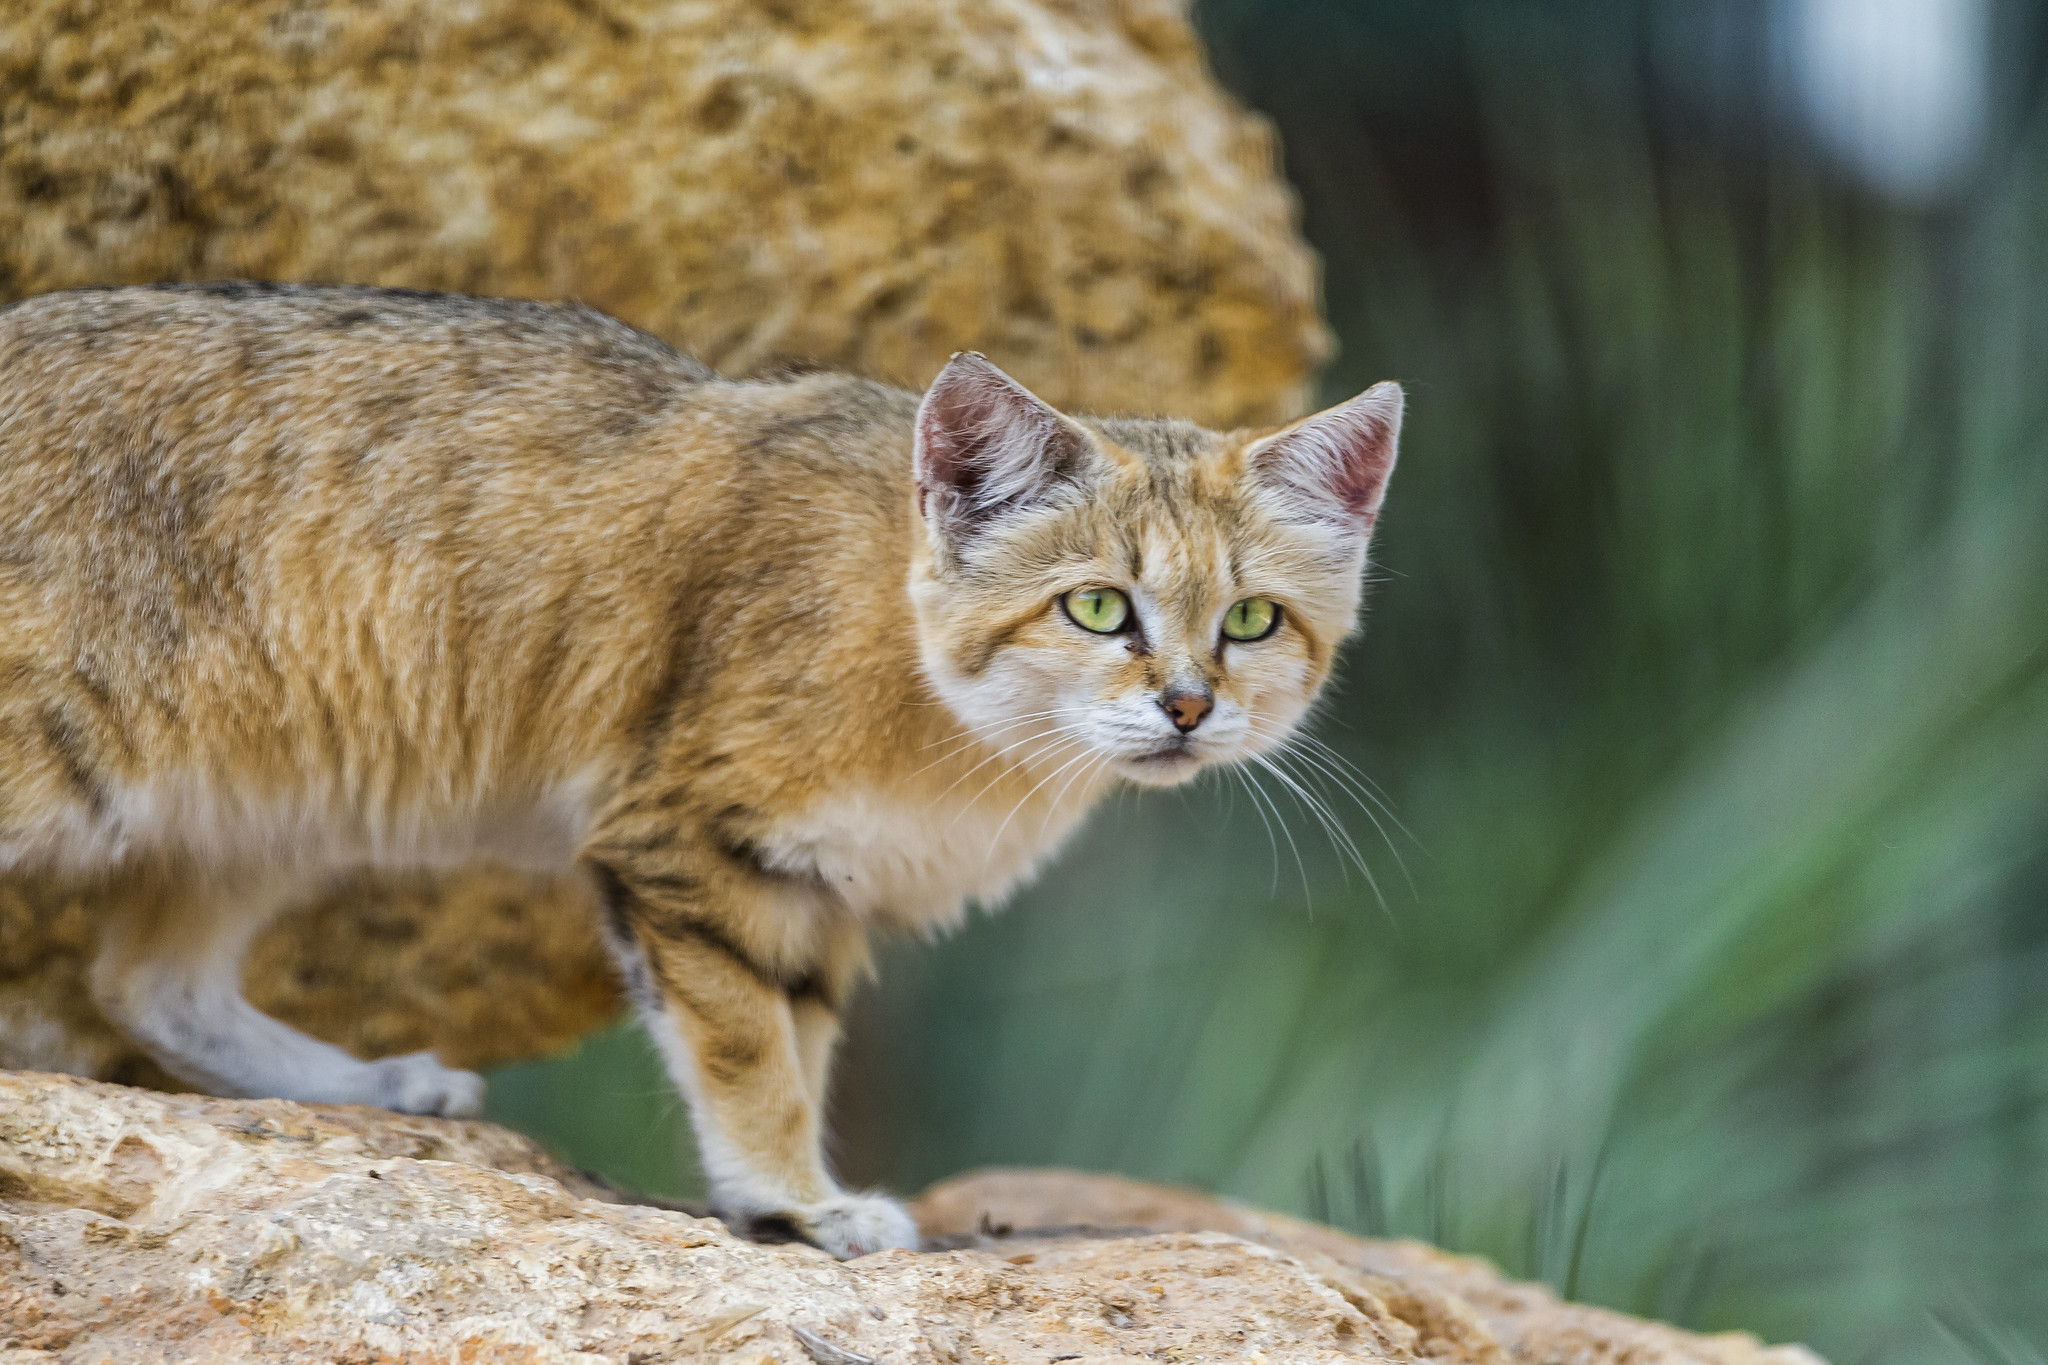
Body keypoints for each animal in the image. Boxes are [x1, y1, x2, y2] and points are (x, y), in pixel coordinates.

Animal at [0, 282, 1400, 1252]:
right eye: (1099, 608)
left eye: (1251, 621)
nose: (1187, 706)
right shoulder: (688, 845)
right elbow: (747, 1053)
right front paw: (798, 1204)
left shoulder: (819, 891)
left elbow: (799, 1044)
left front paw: (788, 1195)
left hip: (265, 799)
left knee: (148, 983)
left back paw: (367, 1082)